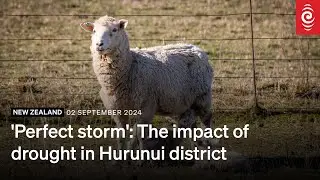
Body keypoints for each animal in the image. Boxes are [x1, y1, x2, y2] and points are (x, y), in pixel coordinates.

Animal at [79, 15, 215, 158]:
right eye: (94, 31)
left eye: (115, 30)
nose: (99, 44)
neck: (130, 68)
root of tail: (195, 47)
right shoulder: (117, 109)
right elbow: (122, 136)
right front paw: (121, 158)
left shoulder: (146, 107)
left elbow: (140, 135)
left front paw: (141, 157)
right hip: (180, 103)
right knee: (189, 124)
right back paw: (195, 149)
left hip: (203, 97)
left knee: (206, 120)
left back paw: (208, 144)